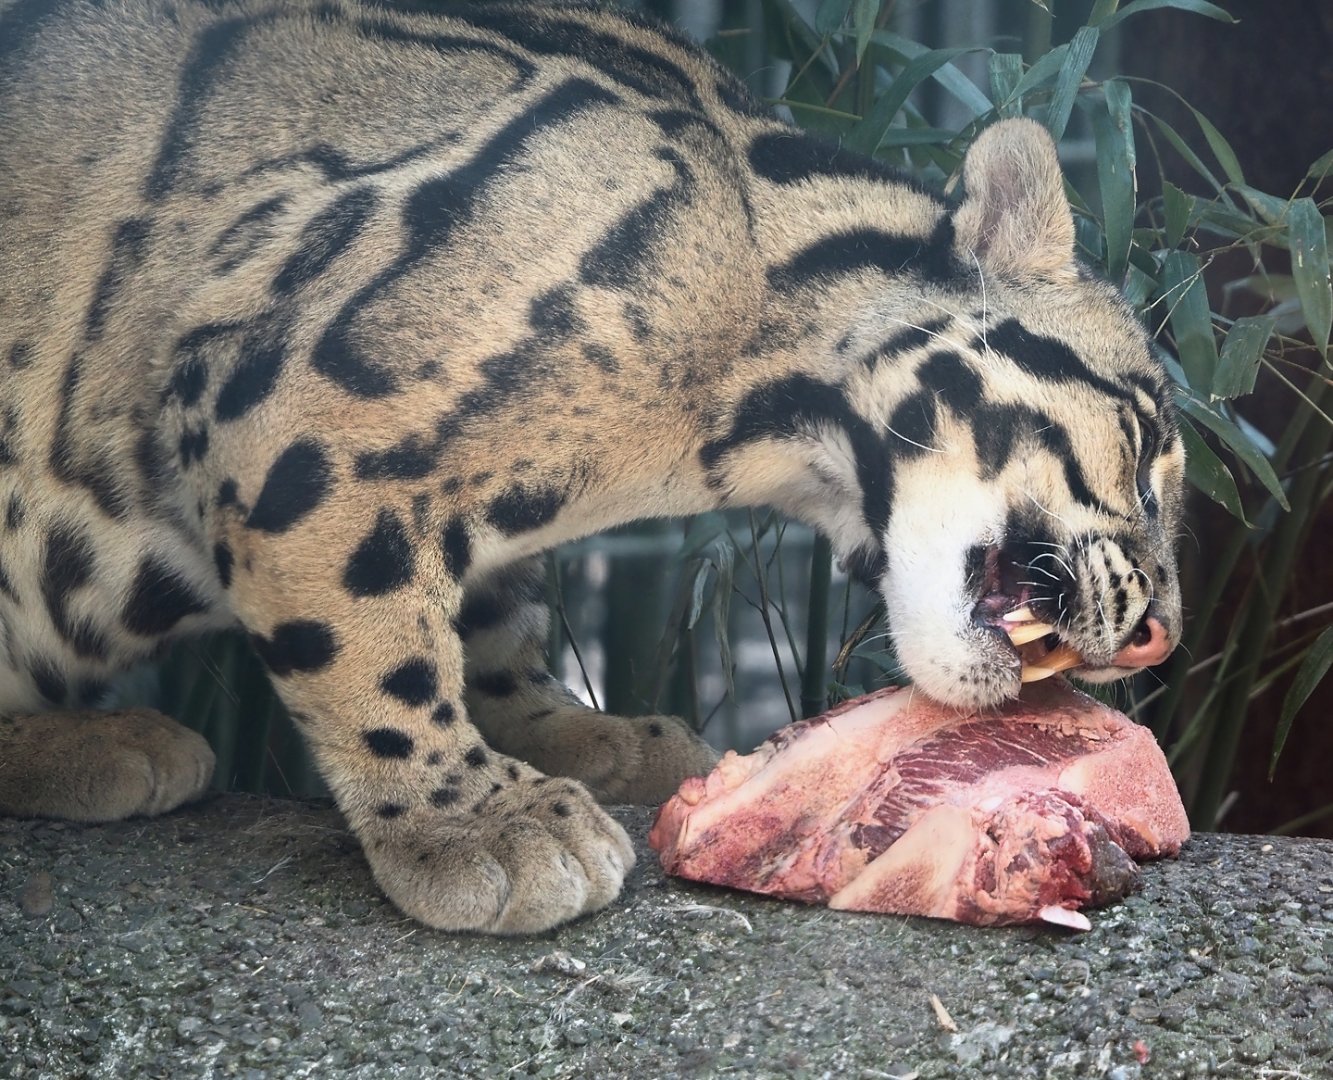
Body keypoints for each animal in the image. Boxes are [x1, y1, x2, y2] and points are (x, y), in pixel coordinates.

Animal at [0, 0, 1185, 933]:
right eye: (1141, 453)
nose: (1159, 636)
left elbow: (491, 617)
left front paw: (564, 732)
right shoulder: (299, 406)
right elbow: (372, 640)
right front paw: (470, 818)